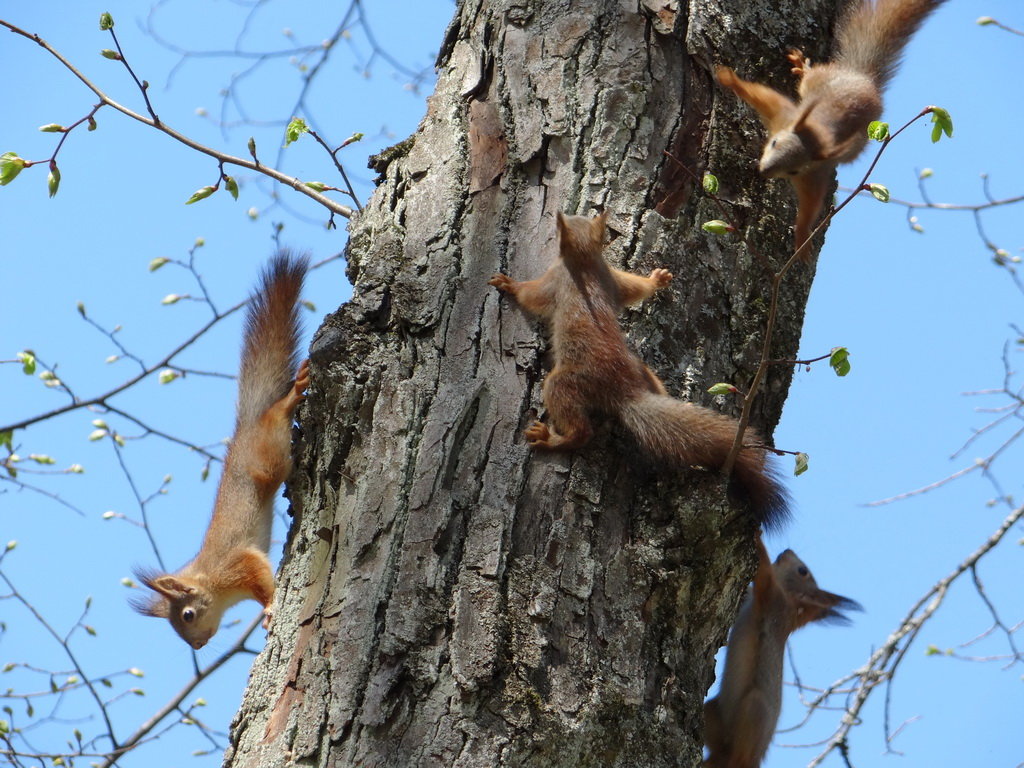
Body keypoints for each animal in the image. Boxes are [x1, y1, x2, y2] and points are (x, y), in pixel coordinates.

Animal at [136, 253, 311, 651]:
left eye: (187, 615)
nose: (198, 646)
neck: (212, 580)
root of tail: (246, 425)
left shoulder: (237, 565)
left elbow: (260, 576)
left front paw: (270, 608)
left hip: (269, 451)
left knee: (277, 414)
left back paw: (292, 395)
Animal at [491, 211, 786, 536]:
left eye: (560, 226)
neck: (585, 259)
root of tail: (626, 393)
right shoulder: (613, 277)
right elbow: (635, 288)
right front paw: (657, 280)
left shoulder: (554, 281)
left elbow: (530, 295)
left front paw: (508, 284)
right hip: (643, 370)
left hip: (564, 383)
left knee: (581, 431)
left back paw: (550, 438)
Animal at [700, 536, 860, 765]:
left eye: (803, 571)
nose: (787, 551)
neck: (792, 605)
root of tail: (755, 760)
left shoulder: (773, 598)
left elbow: (764, 572)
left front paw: (758, 536)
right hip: (713, 714)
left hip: (754, 710)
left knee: (738, 754)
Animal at [720, 0, 942, 262]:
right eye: (774, 143)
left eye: (794, 170)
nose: (764, 172)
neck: (817, 132)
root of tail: (863, 78)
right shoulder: (784, 115)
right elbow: (760, 94)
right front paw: (727, 78)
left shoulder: (813, 174)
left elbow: (810, 207)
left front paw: (802, 238)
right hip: (821, 79)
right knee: (810, 77)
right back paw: (802, 66)